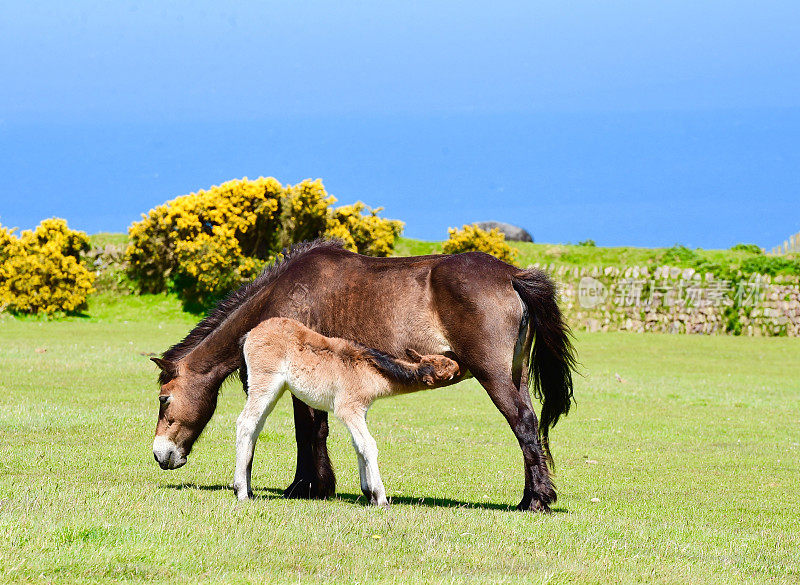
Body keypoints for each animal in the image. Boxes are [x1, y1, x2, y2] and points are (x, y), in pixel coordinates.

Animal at [234, 318, 460, 504]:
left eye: (445, 362)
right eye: (445, 369)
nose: (458, 366)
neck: (368, 370)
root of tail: (249, 334)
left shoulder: (361, 410)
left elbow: (358, 445)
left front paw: (368, 493)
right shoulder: (348, 409)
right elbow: (369, 444)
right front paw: (380, 497)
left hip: (275, 389)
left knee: (255, 427)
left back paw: (248, 488)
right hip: (265, 382)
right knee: (245, 422)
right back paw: (241, 491)